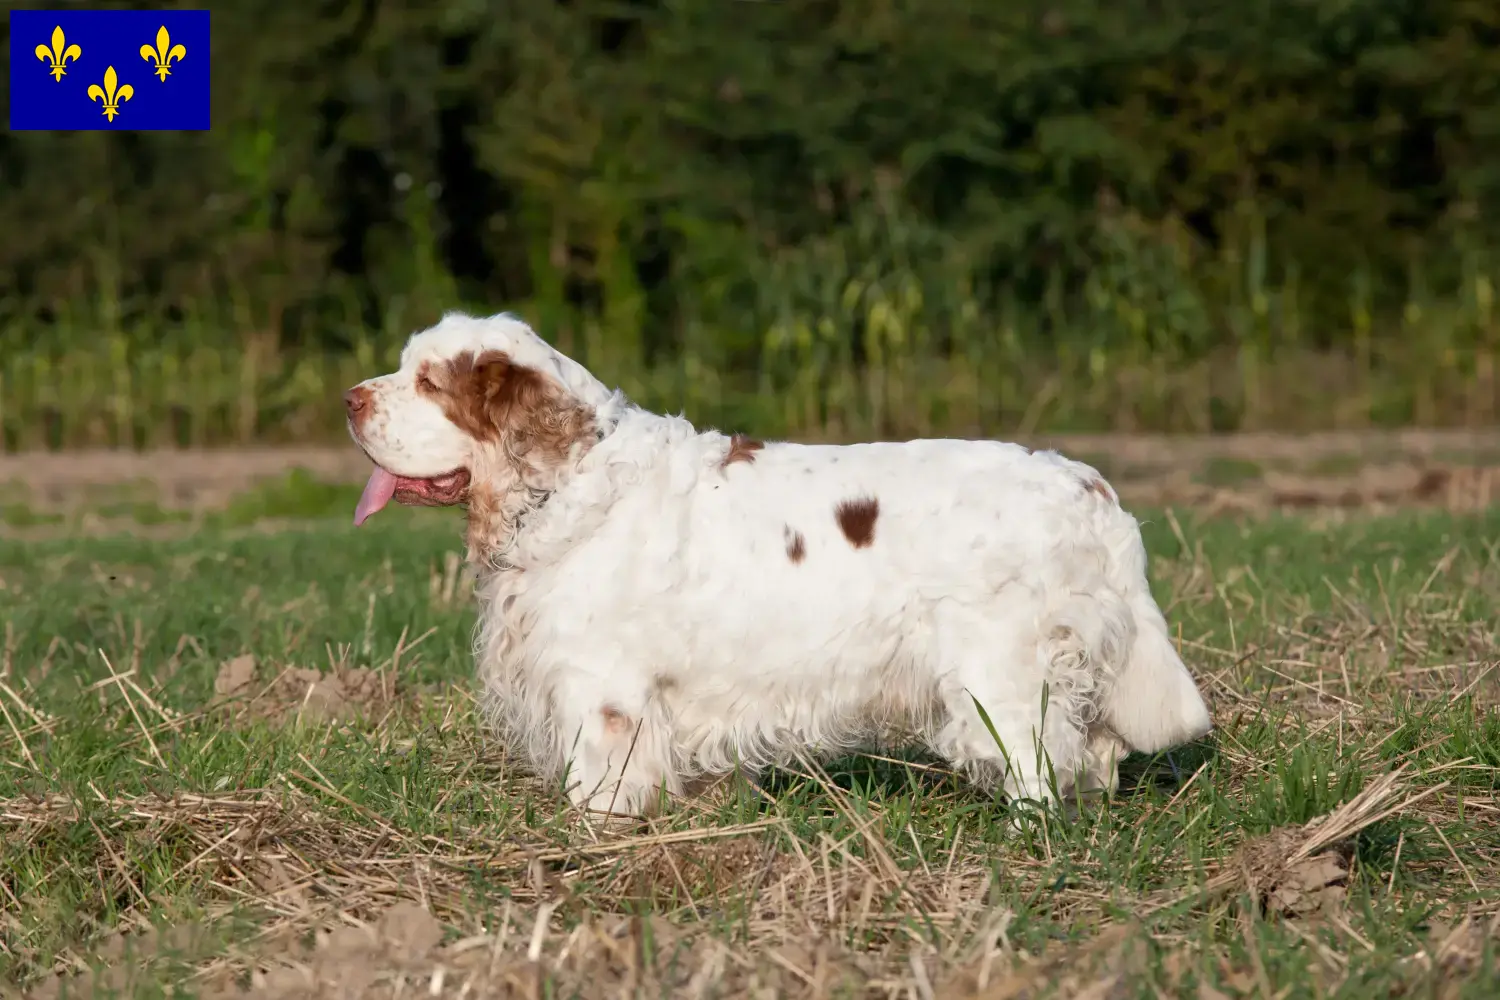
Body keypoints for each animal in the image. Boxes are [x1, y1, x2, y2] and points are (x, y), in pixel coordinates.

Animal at [340, 316, 1206, 815]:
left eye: (428, 382)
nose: (349, 399)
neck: (571, 480)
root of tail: (1090, 488)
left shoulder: (601, 690)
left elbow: (600, 785)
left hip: (1001, 677)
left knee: (1040, 762)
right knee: (1095, 752)